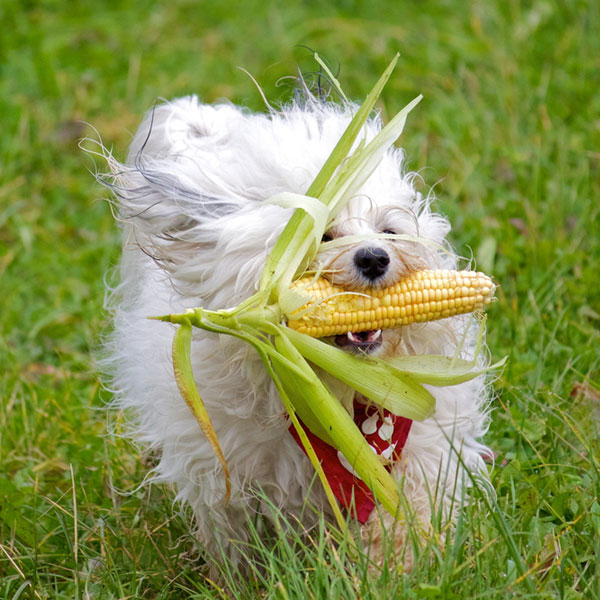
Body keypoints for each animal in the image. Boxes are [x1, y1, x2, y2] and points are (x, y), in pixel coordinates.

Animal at [101, 91, 490, 576]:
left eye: (389, 230)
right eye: (321, 236)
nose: (374, 257)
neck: (332, 392)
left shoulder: (415, 453)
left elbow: (401, 517)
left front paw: (397, 569)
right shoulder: (233, 476)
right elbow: (240, 540)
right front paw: (244, 580)